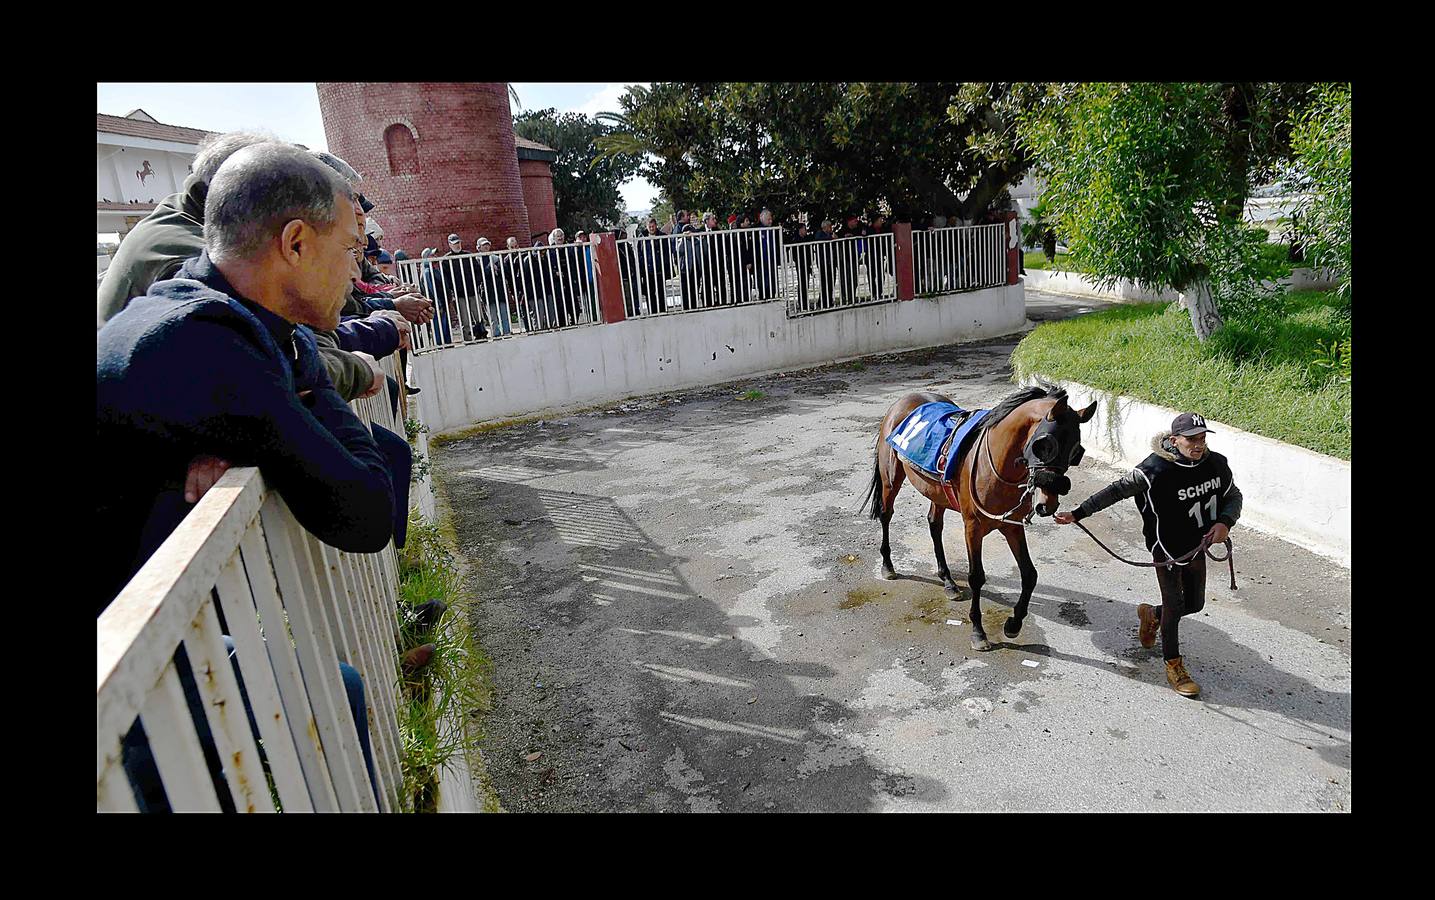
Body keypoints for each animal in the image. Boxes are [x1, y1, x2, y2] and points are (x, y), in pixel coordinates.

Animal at [860, 384, 1096, 651]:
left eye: (1076, 451)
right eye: (1044, 445)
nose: (1048, 503)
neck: (997, 463)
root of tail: (904, 400)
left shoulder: (1012, 526)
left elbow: (1029, 574)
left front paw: (1014, 623)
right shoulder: (972, 527)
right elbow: (976, 577)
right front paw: (978, 631)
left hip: (938, 492)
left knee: (934, 524)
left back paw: (948, 580)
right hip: (891, 478)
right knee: (886, 515)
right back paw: (888, 566)